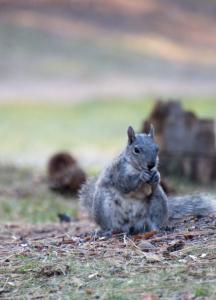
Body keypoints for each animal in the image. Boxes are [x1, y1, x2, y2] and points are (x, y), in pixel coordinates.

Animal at [79, 125, 216, 234]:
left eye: (157, 148)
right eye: (136, 150)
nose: (151, 164)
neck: (137, 167)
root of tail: (132, 226)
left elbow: (153, 184)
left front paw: (157, 175)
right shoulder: (118, 172)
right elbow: (124, 183)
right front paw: (141, 176)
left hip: (158, 202)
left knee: (153, 222)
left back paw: (160, 228)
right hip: (105, 206)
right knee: (113, 224)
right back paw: (109, 231)